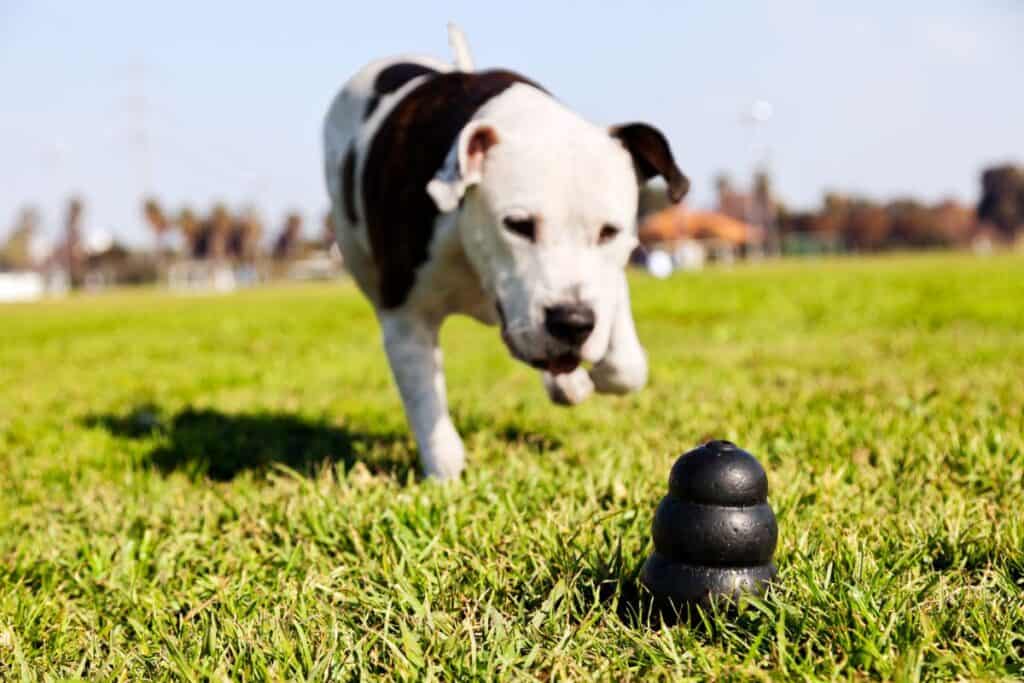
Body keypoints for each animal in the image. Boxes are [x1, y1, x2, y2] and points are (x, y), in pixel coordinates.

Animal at [319, 24, 688, 479]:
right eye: (518, 225)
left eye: (609, 232)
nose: (572, 322)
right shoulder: (405, 319)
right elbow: (429, 410)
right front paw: (445, 476)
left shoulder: (603, 282)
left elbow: (627, 366)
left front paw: (589, 374)